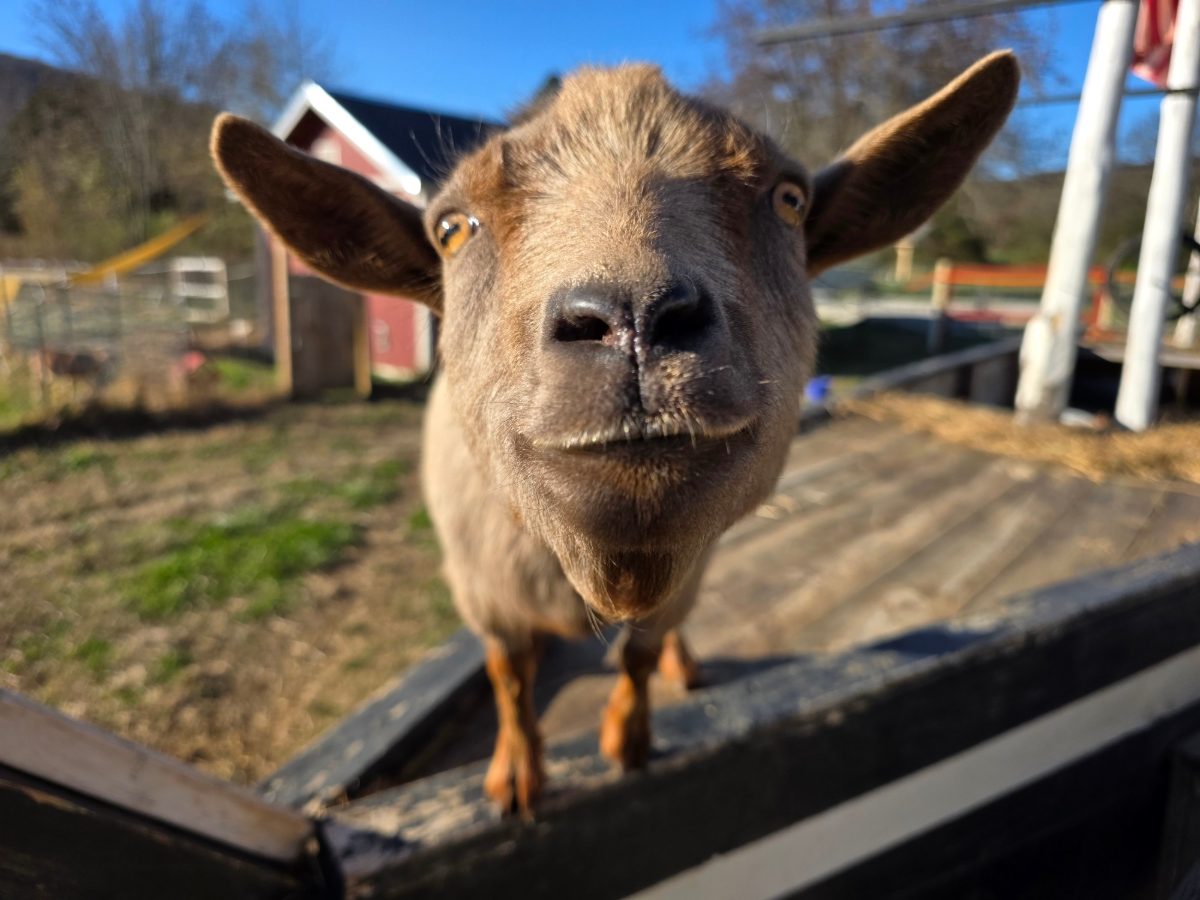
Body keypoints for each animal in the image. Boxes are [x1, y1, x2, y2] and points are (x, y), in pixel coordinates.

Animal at [210, 52, 1018, 816]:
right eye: (450, 228)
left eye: (789, 199)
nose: (631, 322)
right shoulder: (482, 595)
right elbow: (508, 682)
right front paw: (517, 779)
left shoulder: (683, 576)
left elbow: (639, 655)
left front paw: (628, 743)